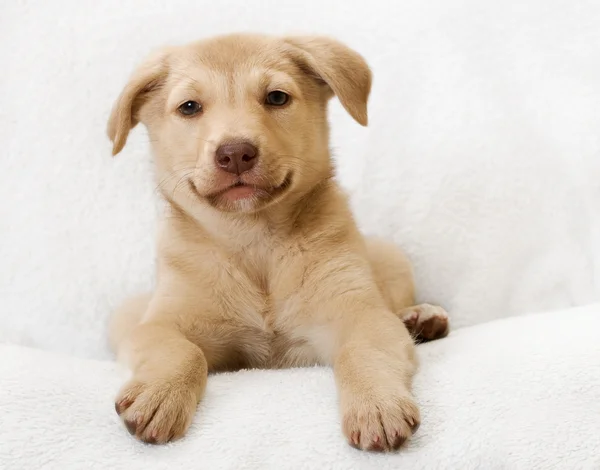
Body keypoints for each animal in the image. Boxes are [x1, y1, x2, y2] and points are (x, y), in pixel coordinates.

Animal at [108, 33, 448, 452]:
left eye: (276, 97)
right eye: (189, 107)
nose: (235, 153)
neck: (255, 242)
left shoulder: (360, 315)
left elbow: (362, 351)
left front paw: (376, 404)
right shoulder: (160, 325)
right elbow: (183, 351)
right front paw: (160, 395)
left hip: (391, 256)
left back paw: (422, 317)